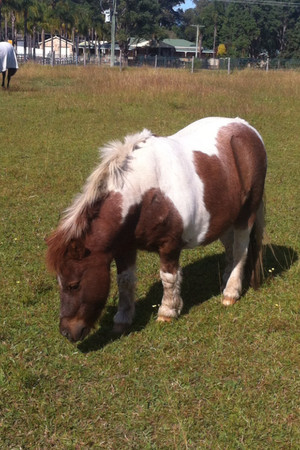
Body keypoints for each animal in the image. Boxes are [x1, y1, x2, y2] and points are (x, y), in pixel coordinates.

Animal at [46, 118, 268, 342]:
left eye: (74, 284)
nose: (67, 332)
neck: (145, 194)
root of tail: (246, 127)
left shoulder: (170, 245)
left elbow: (168, 278)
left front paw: (167, 312)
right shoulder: (124, 247)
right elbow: (124, 281)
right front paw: (122, 320)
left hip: (246, 214)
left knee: (240, 250)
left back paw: (230, 293)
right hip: (225, 219)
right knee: (230, 248)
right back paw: (225, 281)